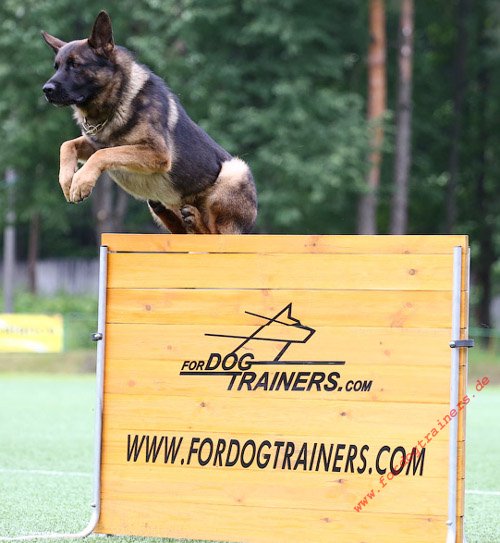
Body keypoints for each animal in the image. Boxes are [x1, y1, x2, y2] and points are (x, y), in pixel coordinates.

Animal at [41, 10, 256, 232]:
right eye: (57, 67)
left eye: (75, 65)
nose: (46, 90)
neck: (117, 100)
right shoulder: (95, 143)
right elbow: (67, 145)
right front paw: (67, 180)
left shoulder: (156, 153)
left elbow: (103, 154)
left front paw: (81, 182)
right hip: (160, 205)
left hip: (234, 171)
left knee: (212, 233)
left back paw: (195, 218)